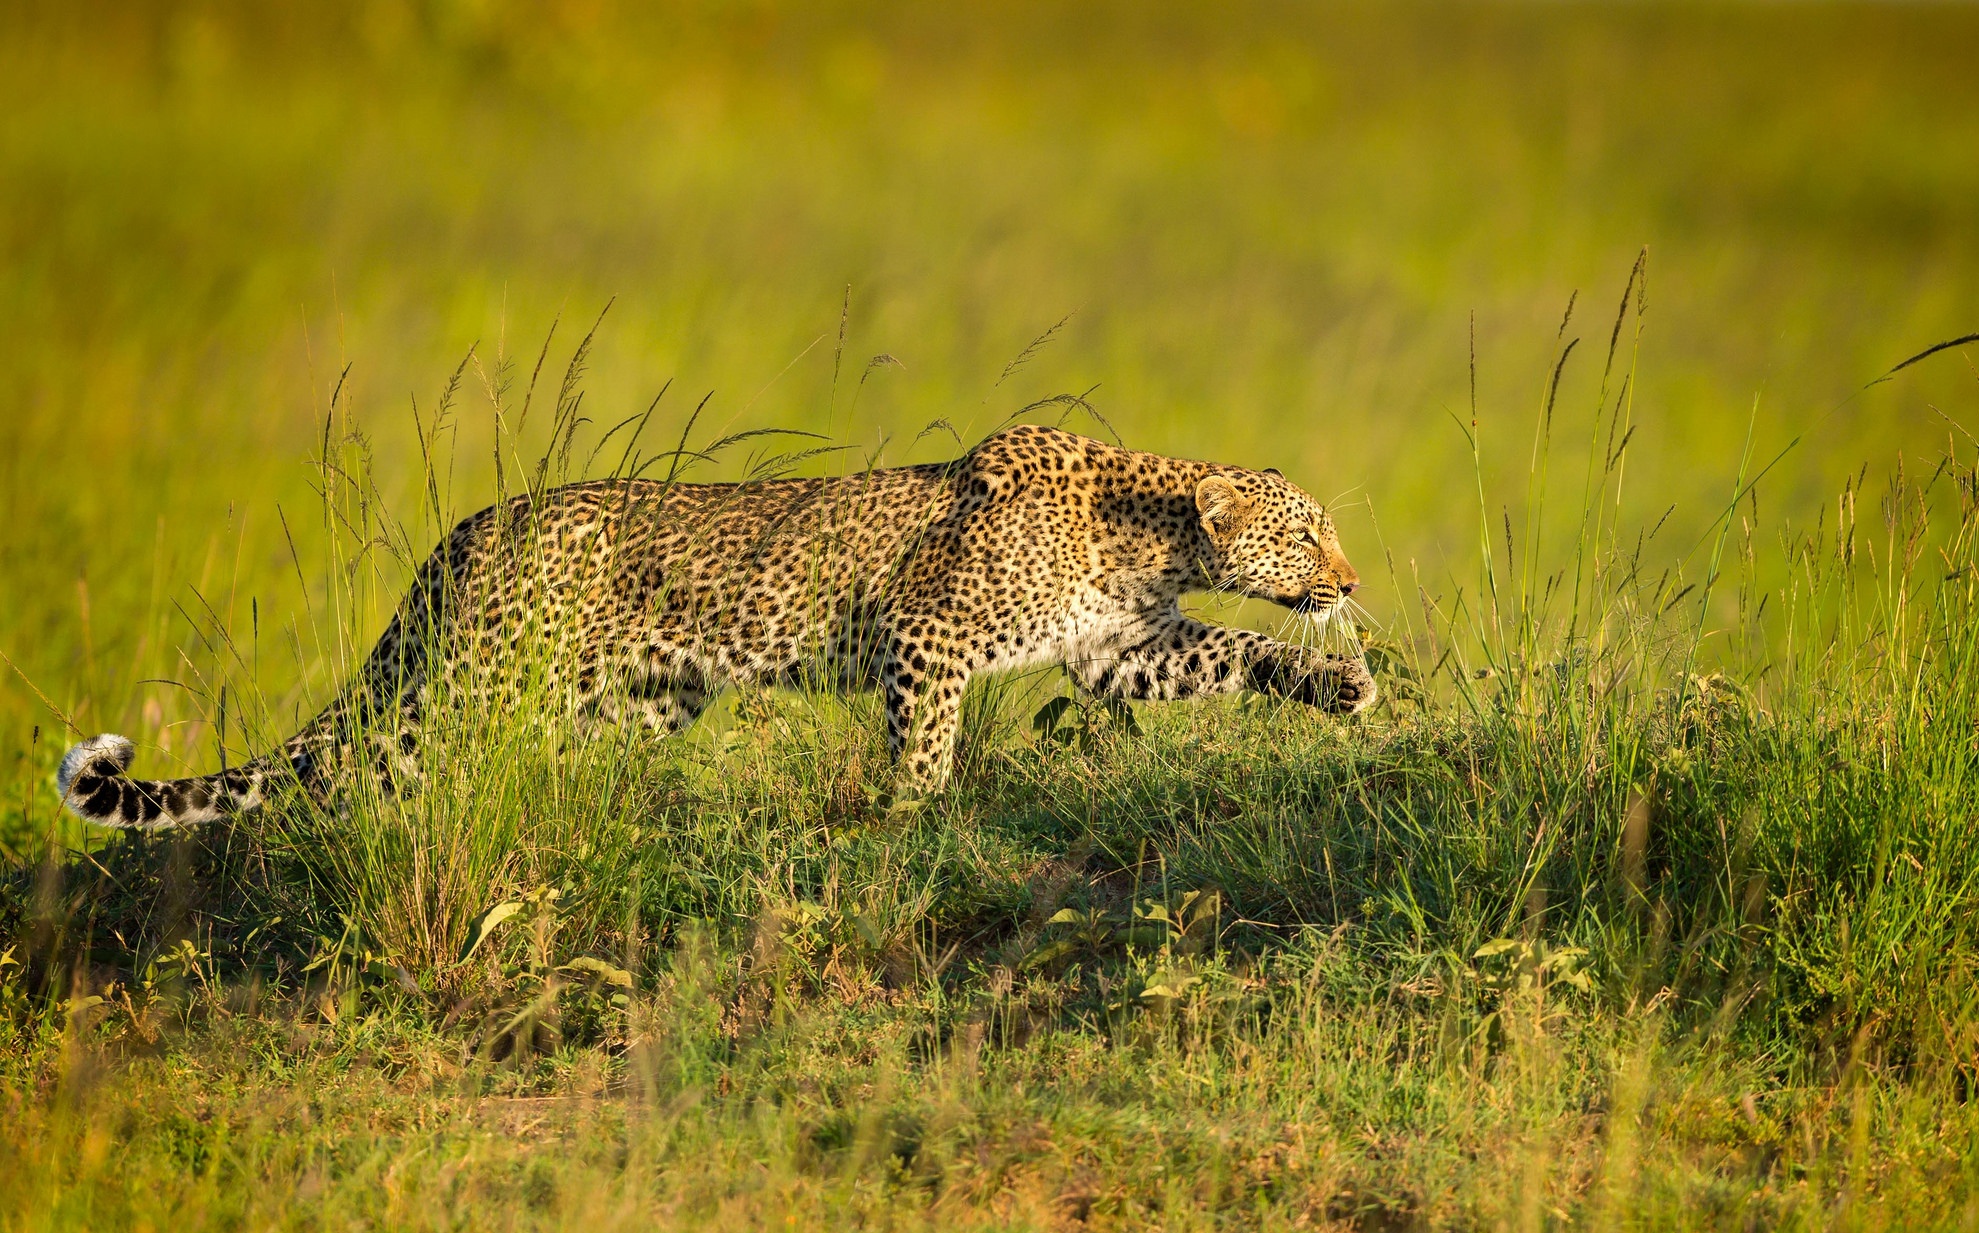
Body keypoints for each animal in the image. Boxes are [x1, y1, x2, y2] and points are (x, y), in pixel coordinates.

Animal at [50, 423, 1377, 831]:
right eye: (1305, 537)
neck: (1147, 530)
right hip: (470, 687)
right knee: (366, 772)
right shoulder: (928, 635)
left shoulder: (1119, 651)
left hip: (627, 703)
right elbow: (924, 742)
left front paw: (1342, 689)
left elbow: (1242, 651)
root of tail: (470, 530)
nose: (1352, 579)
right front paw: (917, 813)